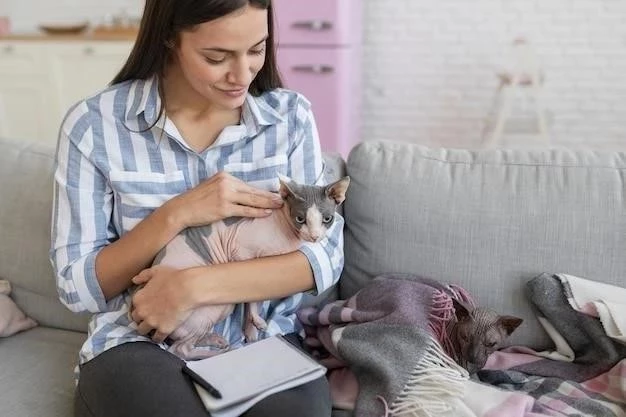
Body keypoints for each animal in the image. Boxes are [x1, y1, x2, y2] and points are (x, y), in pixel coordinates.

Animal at [136, 174, 348, 360]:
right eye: (300, 219)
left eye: (327, 219)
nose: (314, 236)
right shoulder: (242, 255)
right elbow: (251, 300)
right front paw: (256, 322)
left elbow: (254, 298)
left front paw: (250, 330)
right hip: (211, 309)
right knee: (180, 350)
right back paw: (220, 353)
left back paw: (215, 340)